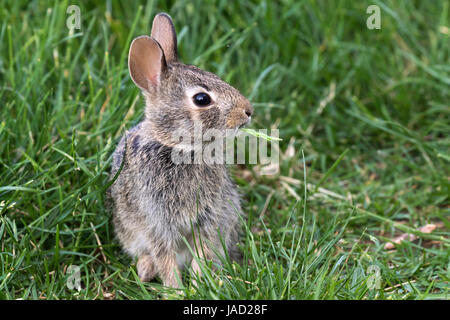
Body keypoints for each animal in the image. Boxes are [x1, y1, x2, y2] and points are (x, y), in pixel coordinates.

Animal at [108, 12, 251, 288]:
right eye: (202, 99)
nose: (247, 111)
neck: (178, 147)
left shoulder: (209, 217)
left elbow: (202, 251)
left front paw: (197, 284)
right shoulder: (156, 221)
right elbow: (165, 257)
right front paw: (176, 289)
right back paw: (145, 270)